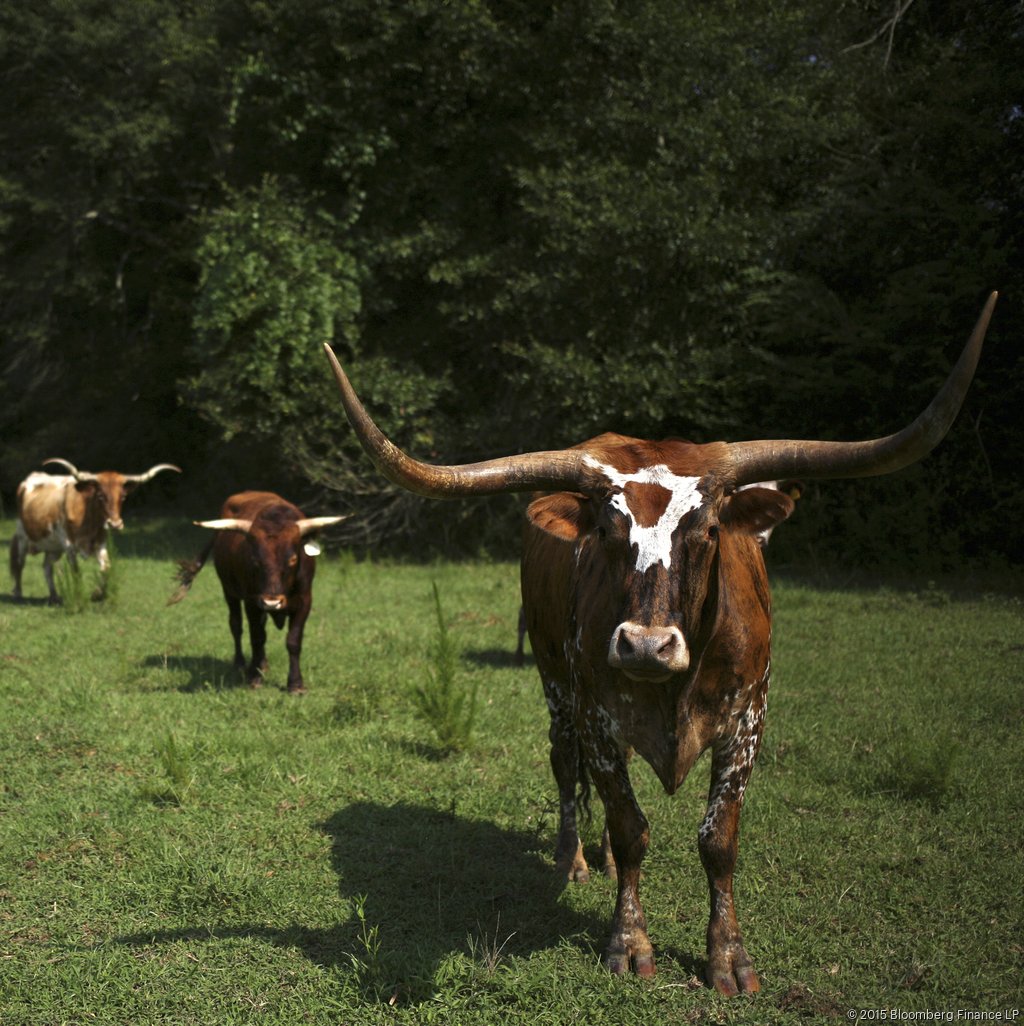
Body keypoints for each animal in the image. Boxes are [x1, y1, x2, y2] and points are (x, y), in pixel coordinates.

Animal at [10, 457, 182, 599]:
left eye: (123, 497)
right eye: (100, 495)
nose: (115, 524)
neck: (89, 523)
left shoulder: (100, 544)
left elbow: (106, 569)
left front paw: (99, 593)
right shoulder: (69, 545)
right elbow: (76, 572)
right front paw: (79, 595)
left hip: (53, 547)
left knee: (46, 567)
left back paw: (53, 596)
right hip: (22, 537)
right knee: (19, 564)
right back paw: (18, 593)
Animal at [168, 490, 344, 697]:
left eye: (293, 558)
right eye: (255, 559)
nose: (272, 602)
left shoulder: (304, 601)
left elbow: (293, 641)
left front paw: (295, 684)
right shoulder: (252, 601)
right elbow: (257, 638)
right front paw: (254, 677)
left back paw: (262, 664)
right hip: (229, 591)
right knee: (236, 625)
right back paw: (242, 663)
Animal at [324, 295, 997, 993]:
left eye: (708, 529)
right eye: (606, 529)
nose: (645, 647)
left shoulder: (748, 721)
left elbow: (718, 840)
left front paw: (728, 955)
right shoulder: (596, 716)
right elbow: (629, 829)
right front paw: (629, 940)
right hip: (555, 684)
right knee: (563, 765)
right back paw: (573, 858)